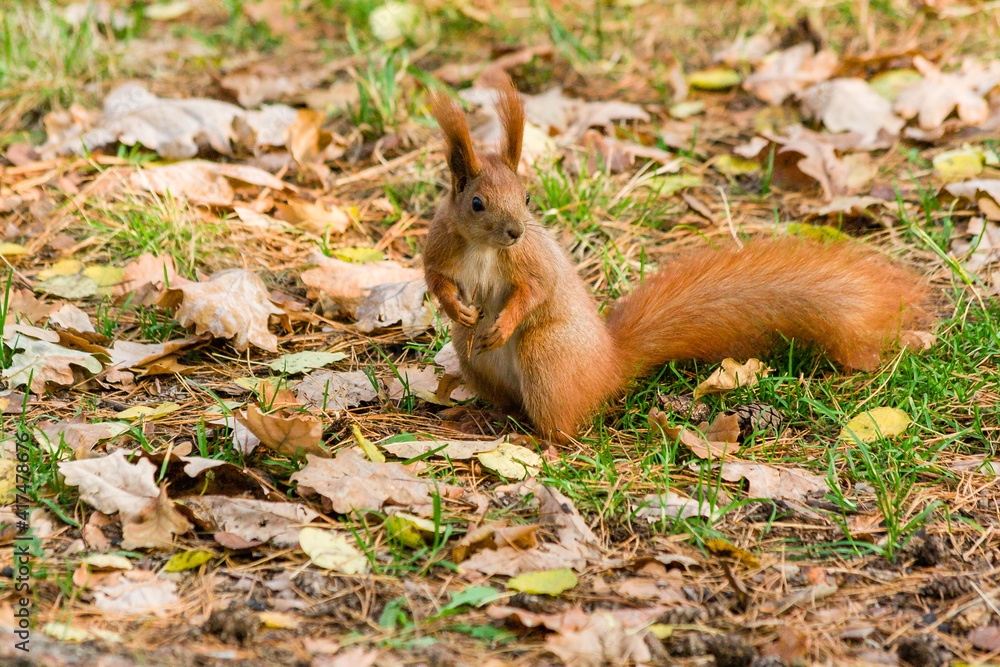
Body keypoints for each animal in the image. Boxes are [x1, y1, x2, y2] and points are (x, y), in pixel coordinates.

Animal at [422, 78, 928, 444]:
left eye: (527, 196)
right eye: (477, 204)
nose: (517, 231)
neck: (486, 249)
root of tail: (608, 367)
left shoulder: (532, 260)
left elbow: (536, 289)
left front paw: (504, 320)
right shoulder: (441, 246)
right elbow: (435, 280)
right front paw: (456, 305)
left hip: (548, 357)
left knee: (562, 429)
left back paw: (534, 441)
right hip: (475, 360)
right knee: (504, 400)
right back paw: (474, 417)